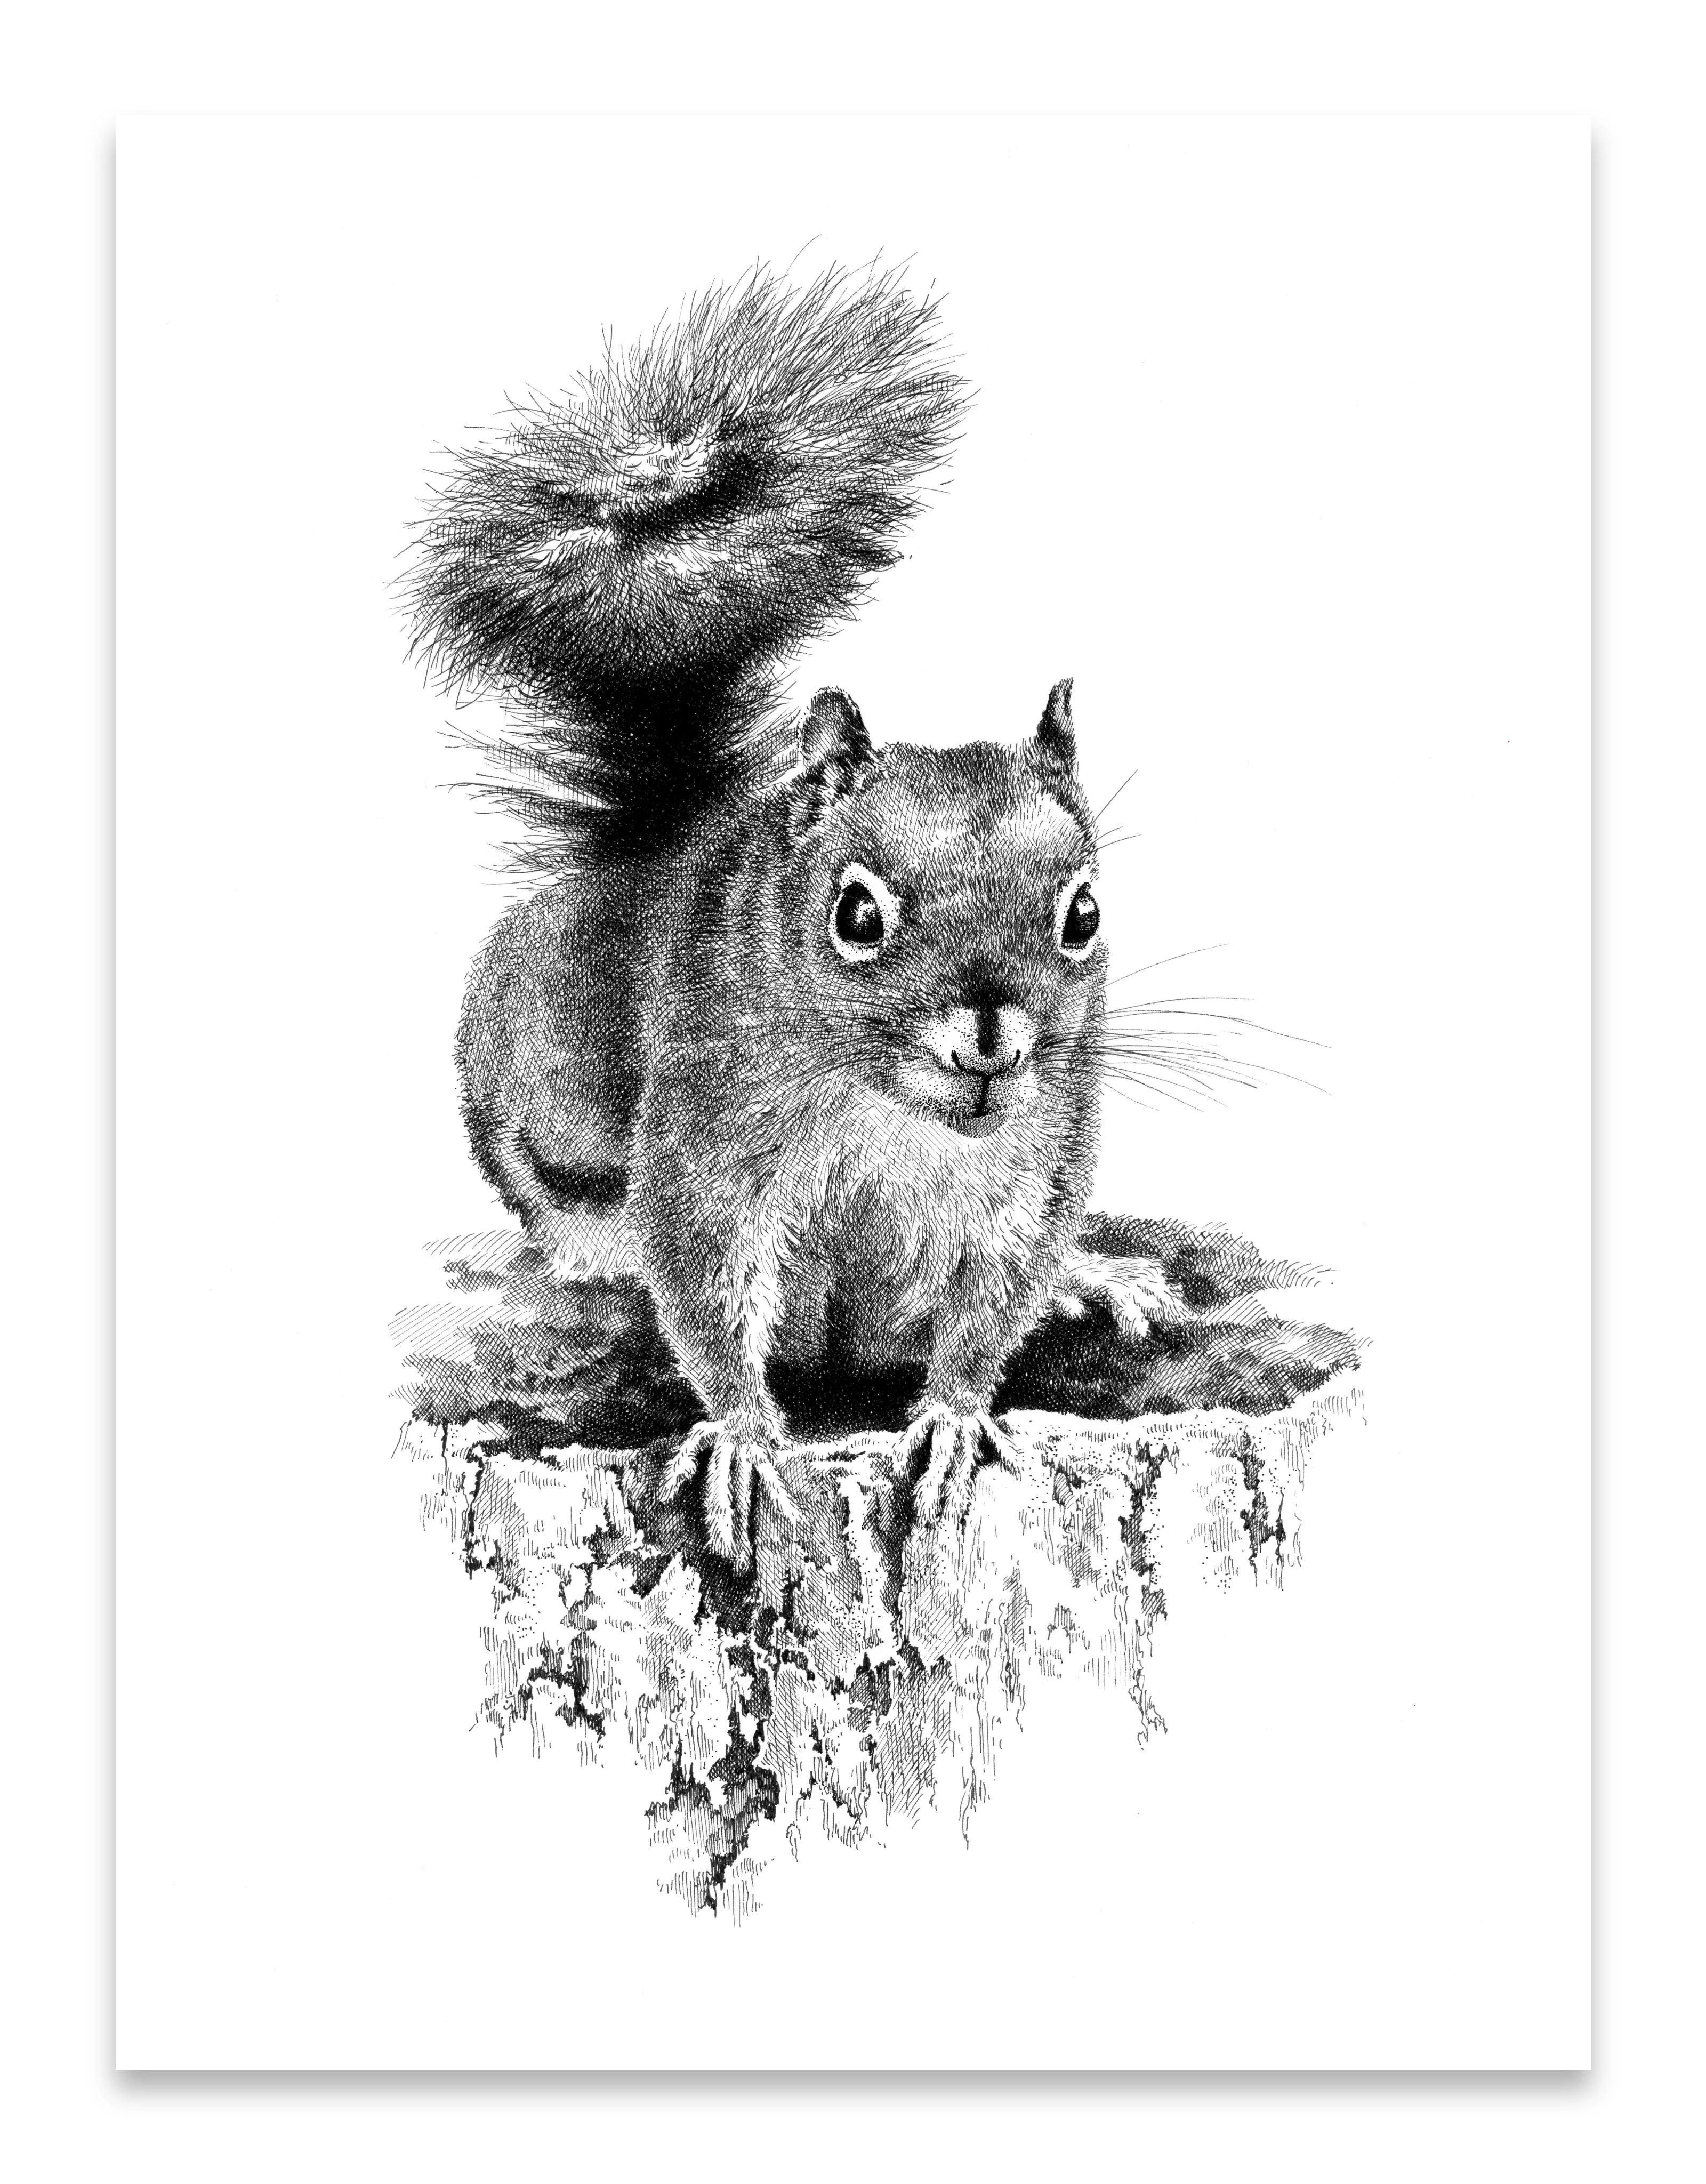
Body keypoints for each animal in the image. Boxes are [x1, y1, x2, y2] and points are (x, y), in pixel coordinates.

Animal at [406, 264, 1116, 1570]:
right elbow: (703, 1282)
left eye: (1083, 912)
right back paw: (590, 1250)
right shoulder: (703, 1135)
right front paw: (740, 1433)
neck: (893, 1118)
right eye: (856, 913)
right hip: (522, 1073)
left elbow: (995, 1301)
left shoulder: (1040, 1165)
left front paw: (953, 1415)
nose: (991, 1039)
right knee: (537, 1186)